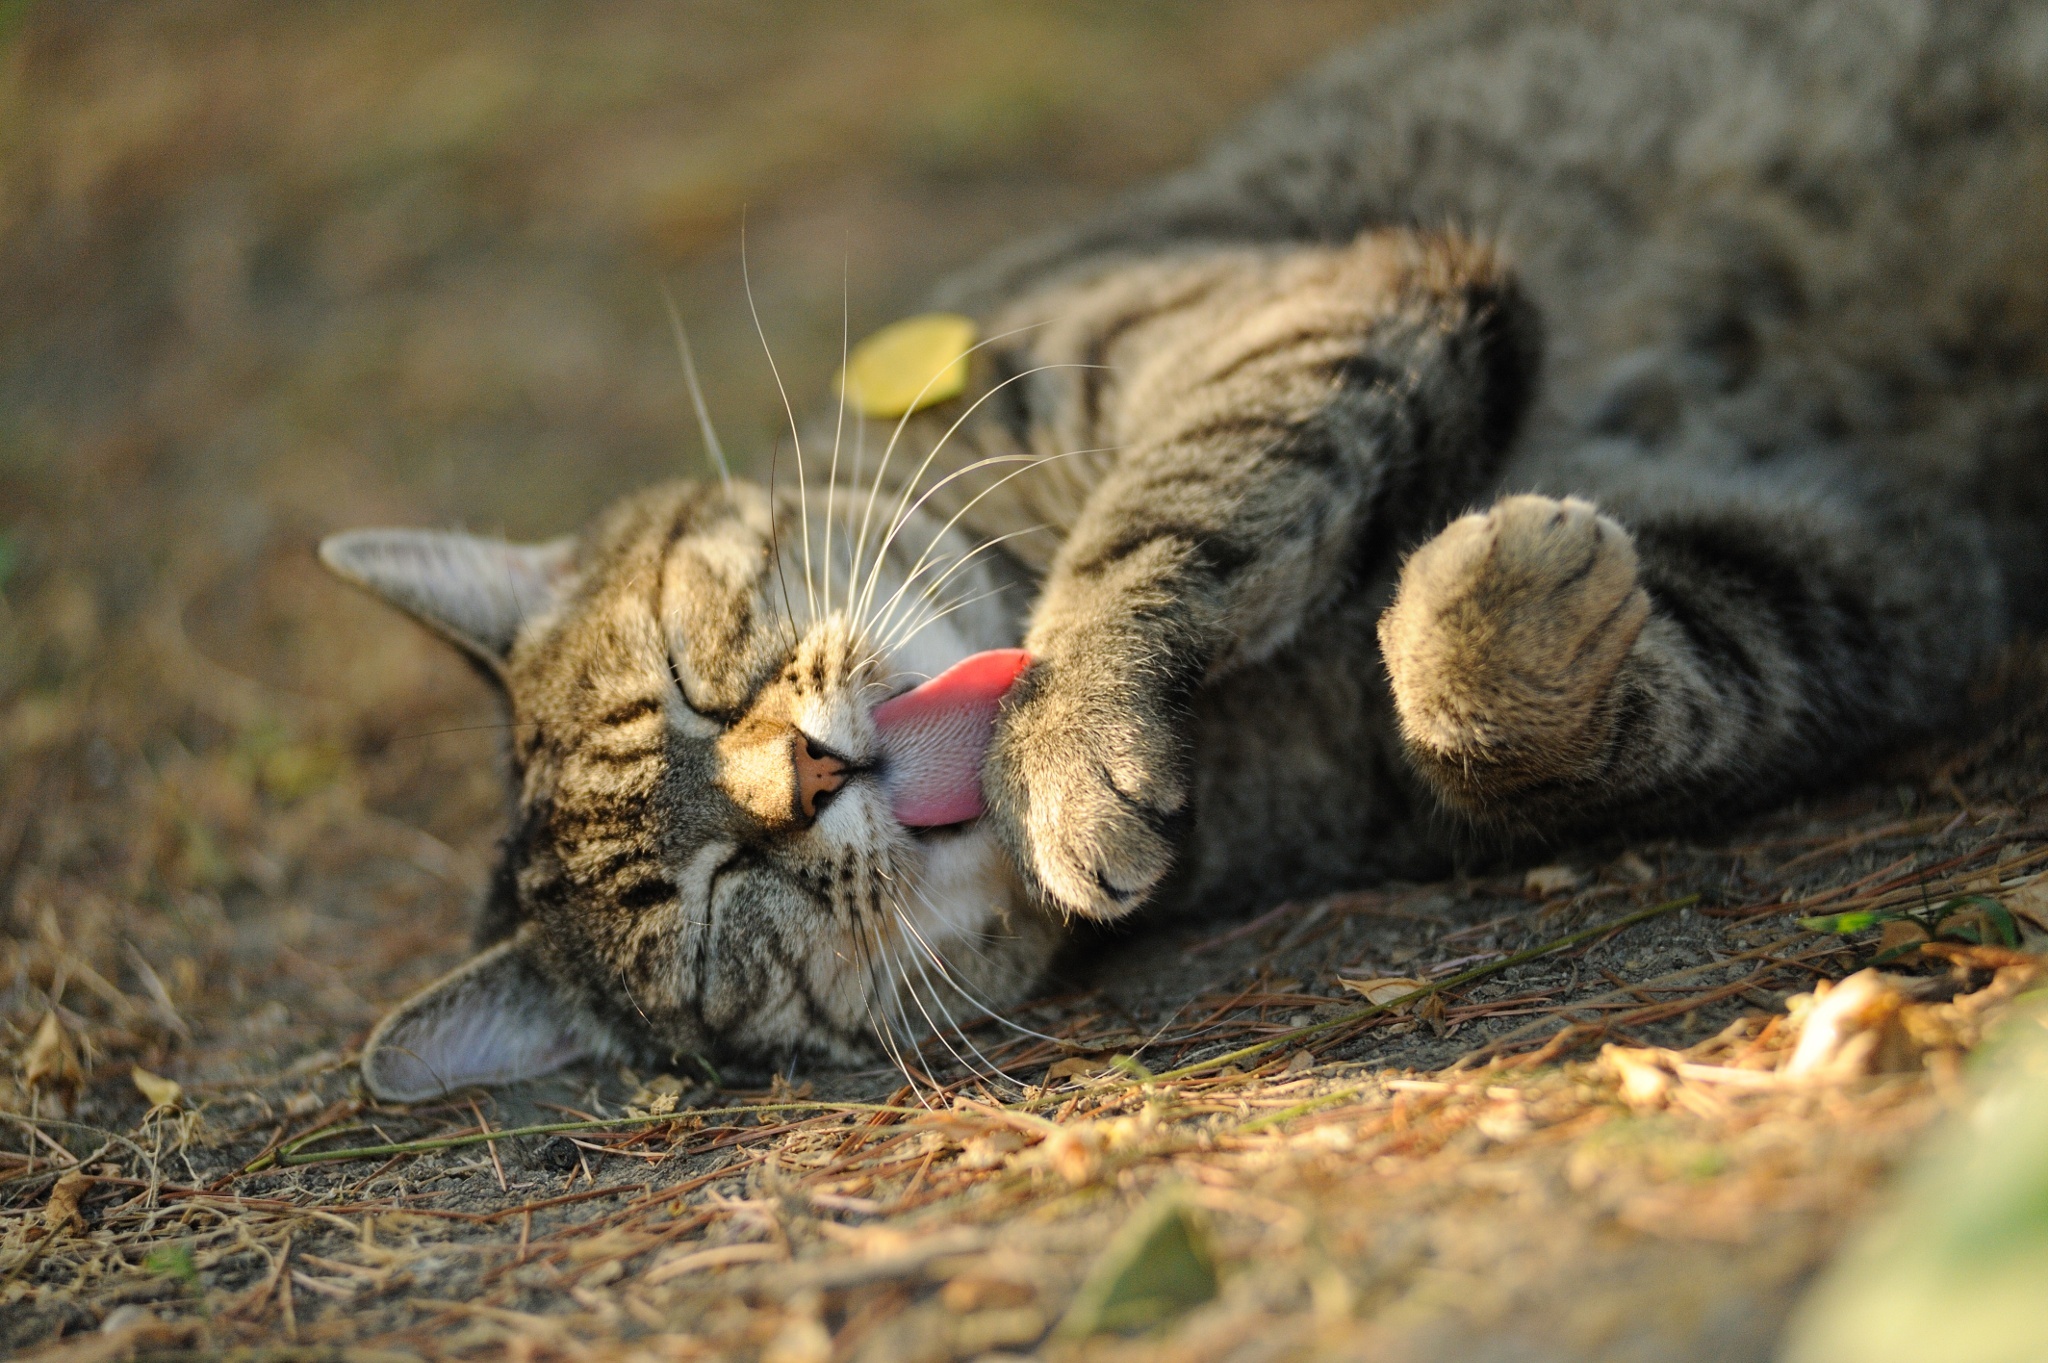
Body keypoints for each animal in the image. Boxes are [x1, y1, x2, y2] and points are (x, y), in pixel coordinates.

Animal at [315, 0, 2048, 1096]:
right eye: (718, 909)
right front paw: (1506, 615)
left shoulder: (1304, 301)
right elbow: (1585, 708)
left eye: (693, 668)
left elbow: (1172, 505)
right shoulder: (1870, 568)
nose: (798, 778)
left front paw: (1074, 723)